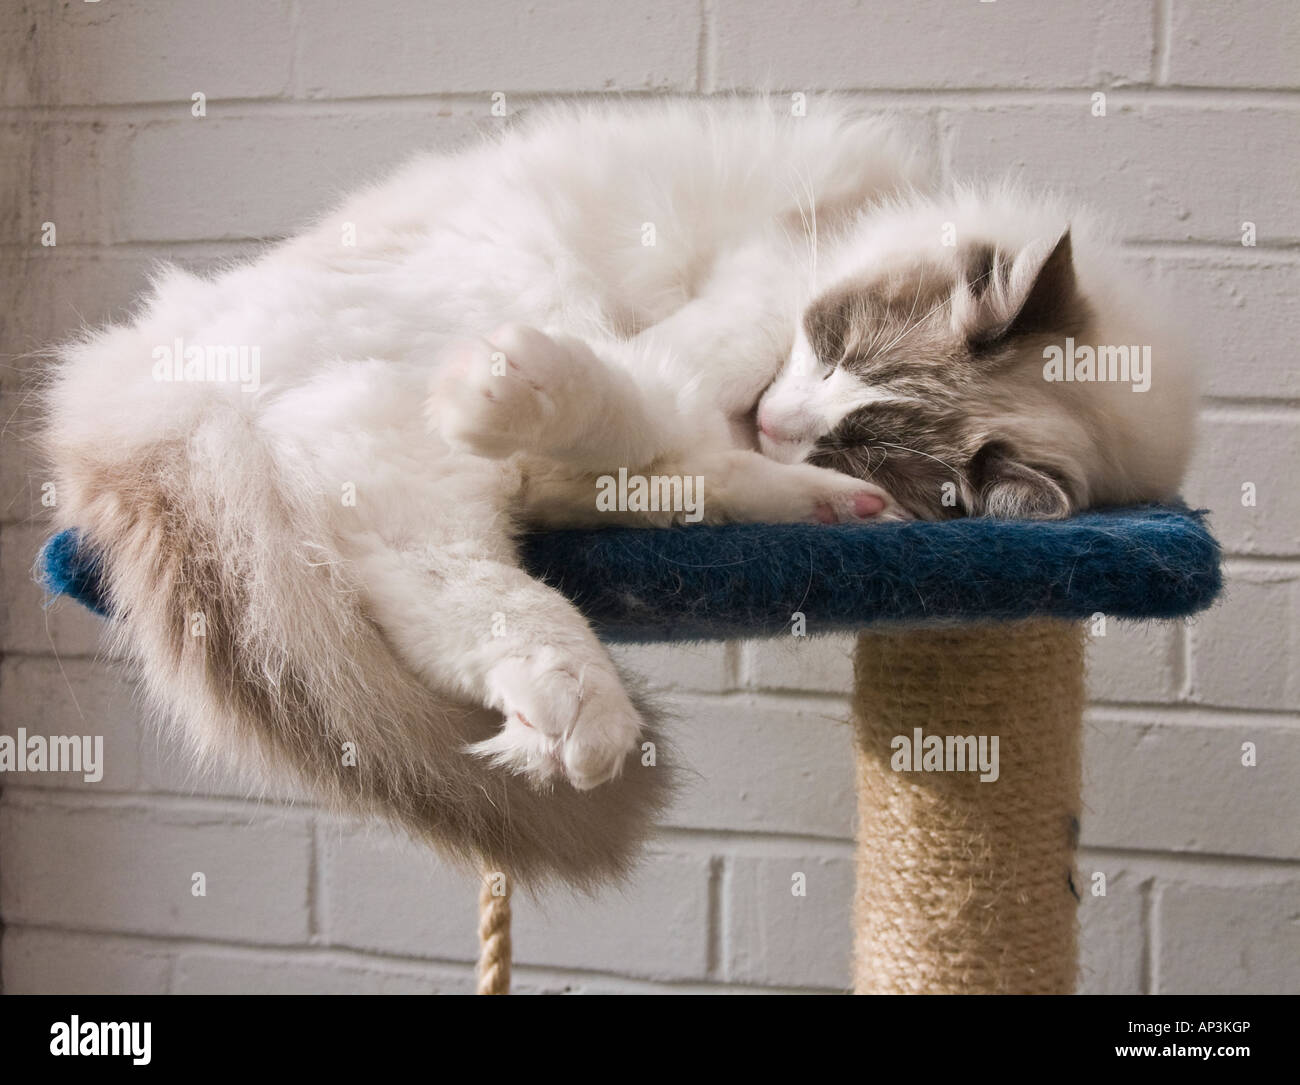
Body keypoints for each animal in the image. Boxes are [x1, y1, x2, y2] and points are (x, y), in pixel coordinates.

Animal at [43, 97, 1196, 888]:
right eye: (833, 345)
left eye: (864, 442)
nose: (786, 423)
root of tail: (129, 368)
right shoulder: (751, 304)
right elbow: (658, 401)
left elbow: (653, 454)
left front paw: (818, 490)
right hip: (485, 307)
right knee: (403, 503)